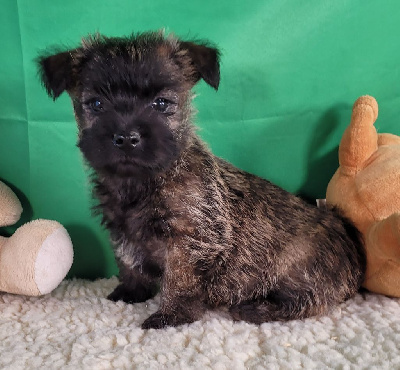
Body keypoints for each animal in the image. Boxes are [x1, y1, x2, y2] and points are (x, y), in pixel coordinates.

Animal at [37, 30, 366, 328]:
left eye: (161, 103)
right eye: (96, 104)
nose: (127, 137)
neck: (144, 182)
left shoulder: (191, 239)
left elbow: (178, 281)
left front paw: (171, 316)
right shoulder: (123, 232)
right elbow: (129, 262)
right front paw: (131, 292)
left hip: (298, 265)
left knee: (312, 299)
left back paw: (256, 308)